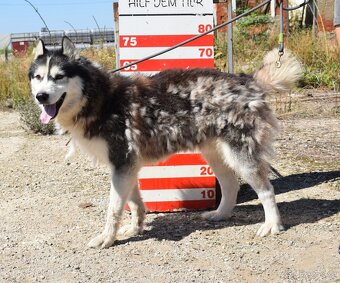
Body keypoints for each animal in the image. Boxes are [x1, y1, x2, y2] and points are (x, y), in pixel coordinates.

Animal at [27, 37, 302, 248]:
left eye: (59, 76)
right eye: (38, 77)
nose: (41, 96)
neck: (99, 98)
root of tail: (247, 80)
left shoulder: (122, 164)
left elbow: (113, 209)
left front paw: (107, 238)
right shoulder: (126, 168)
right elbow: (135, 203)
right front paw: (135, 228)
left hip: (241, 156)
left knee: (266, 190)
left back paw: (273, 225)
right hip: (215, 155)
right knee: (231, 185)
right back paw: (220, 215)